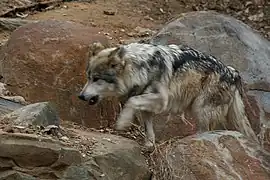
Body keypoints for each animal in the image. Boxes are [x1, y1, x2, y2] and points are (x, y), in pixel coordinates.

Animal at [78, 41, 260, 148]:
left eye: (96, 79)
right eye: (88, 77)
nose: (80, 96)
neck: (140, 68)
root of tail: (232, 72)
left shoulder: (161, 100)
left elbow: (131, 101)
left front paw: (123, 122)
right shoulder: (147, 107)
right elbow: (148, 128)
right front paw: (149, 145)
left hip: (200, 110)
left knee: (207, 131)